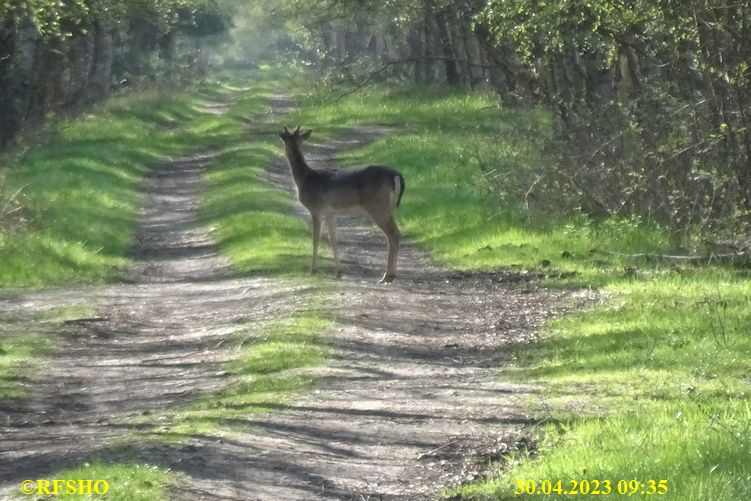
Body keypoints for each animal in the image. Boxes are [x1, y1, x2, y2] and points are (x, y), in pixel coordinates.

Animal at [278, 125, 406, 282]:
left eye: (284, 140)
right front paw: (339, 272)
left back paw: (387, 276)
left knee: (393, 234)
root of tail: (396, 175)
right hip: (389, 207)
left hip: (377, 206)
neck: (305, 178)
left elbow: (315, 239)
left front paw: (313, 270)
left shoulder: (316, 208)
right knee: (395, 234)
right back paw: (390, 275)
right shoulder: (330, 212)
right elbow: (333, 239)